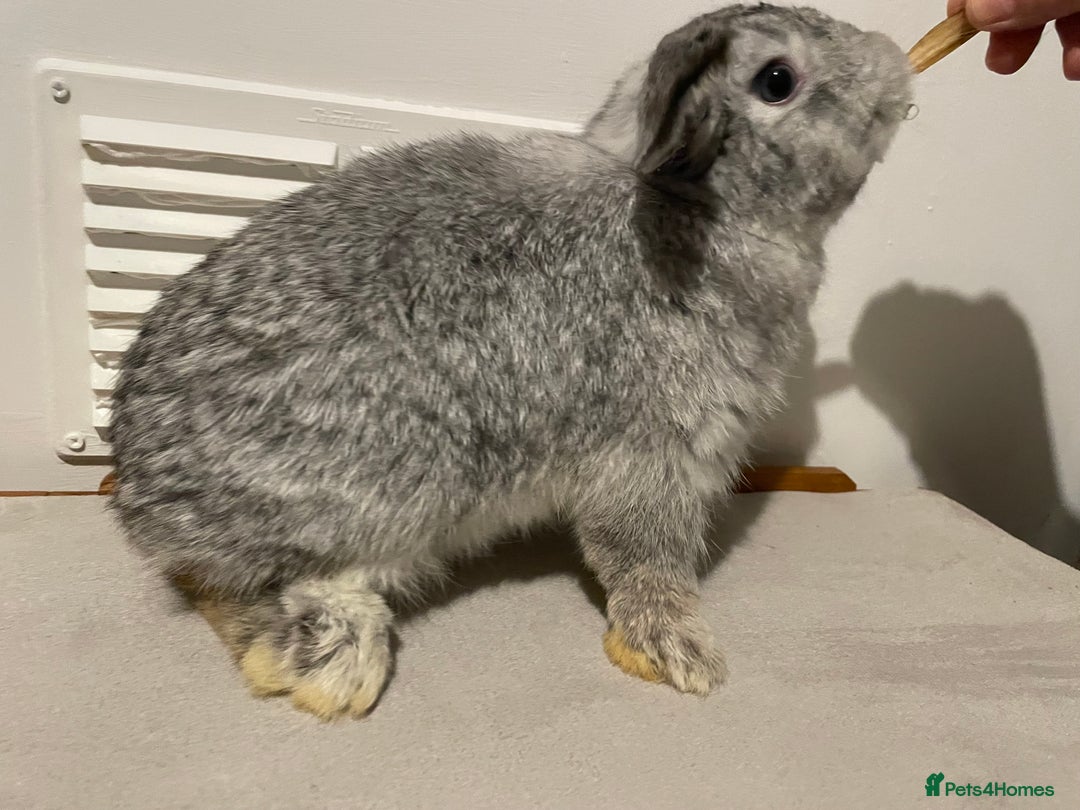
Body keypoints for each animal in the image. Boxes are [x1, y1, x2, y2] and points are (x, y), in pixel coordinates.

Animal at [110, 3, 913, 720]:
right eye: (778, 80)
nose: (891, 56)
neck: (698, 210)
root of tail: (147, 502)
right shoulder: (655, 454)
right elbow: (644, 558)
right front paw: (683, 656)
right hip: (391, 497)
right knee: (244, 587)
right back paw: (329, 668)